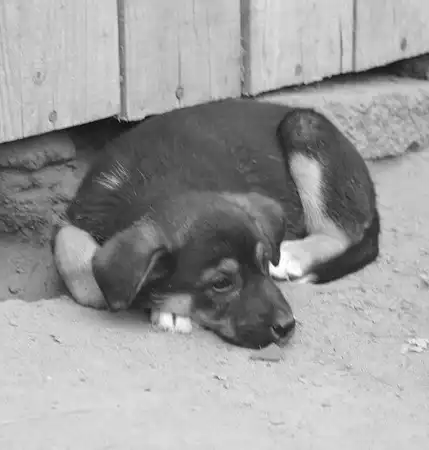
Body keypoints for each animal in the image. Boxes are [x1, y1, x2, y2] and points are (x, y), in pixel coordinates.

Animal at [52, 98, 380, 349]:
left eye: (263, 263)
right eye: (221, 284)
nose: (287, 327)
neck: (165, 181)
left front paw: (168, 309)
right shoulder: (74, 217)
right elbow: (77, 262)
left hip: (303, 129)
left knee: (341, 232)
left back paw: (291, 255)